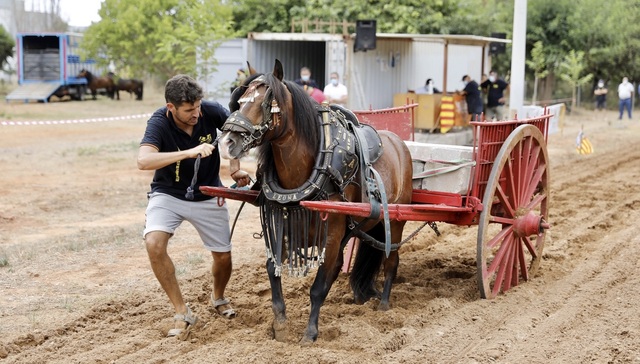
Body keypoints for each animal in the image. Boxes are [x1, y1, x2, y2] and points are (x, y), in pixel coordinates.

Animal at [218, 60, 412, 344]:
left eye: (265, 103)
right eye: (240, 101)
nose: (227, 142)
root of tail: (399, 142)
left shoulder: (330, 234)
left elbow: (318, 287)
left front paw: (310, 333)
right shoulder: (283, 225)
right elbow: (273, 268)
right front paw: (280, 325)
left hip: (396, 221)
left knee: (391, 261)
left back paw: (385, 304)